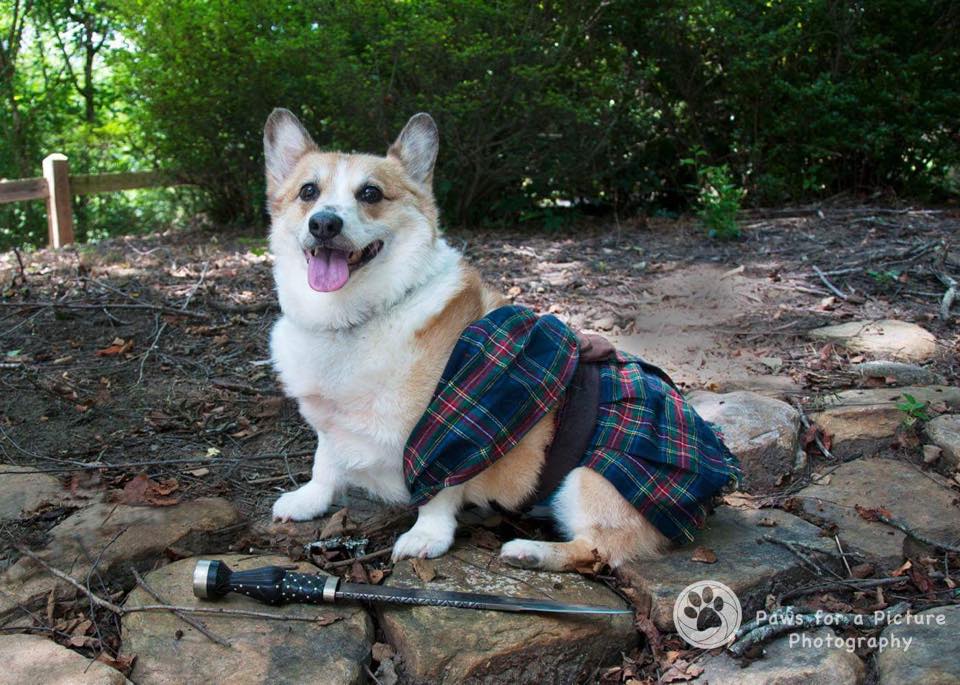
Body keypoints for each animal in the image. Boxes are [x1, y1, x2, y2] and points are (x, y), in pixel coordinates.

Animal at [264, 108, 737, 571]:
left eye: (370, 194)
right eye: (308, 191)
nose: (324, 223)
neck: (354, 317)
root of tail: (717, 483)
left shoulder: (444, 440)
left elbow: (437, 493)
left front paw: (425, 537)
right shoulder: (330, 425)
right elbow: (325, 461)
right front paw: (308, 501)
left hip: (588, 478)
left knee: (599, 550)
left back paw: (530, 551)